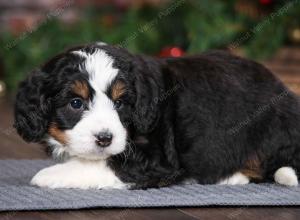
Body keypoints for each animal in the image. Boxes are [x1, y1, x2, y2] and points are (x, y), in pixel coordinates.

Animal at [14, 43, 300, 189]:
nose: (105, 138)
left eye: (120, 103)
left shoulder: (157, 157)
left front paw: (50, 175)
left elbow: (106, 164)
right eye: (75, 103)